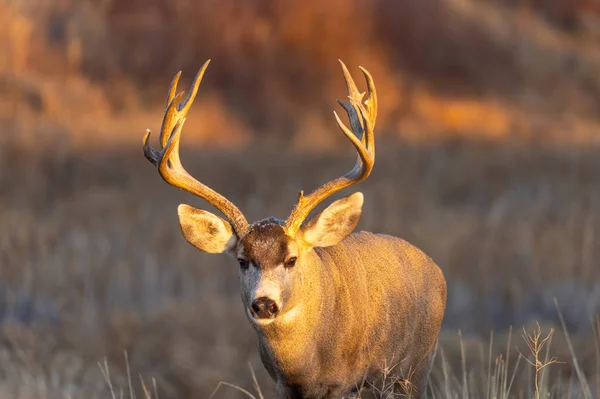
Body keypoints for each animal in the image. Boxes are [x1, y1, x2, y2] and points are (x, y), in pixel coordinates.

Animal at [143, 60, 448, 399]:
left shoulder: (343, 382)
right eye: (242, 261)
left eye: (291, 259)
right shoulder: (282, 385)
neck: (304, 367)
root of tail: (435, 268)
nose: (264, 304)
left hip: (414, 367)